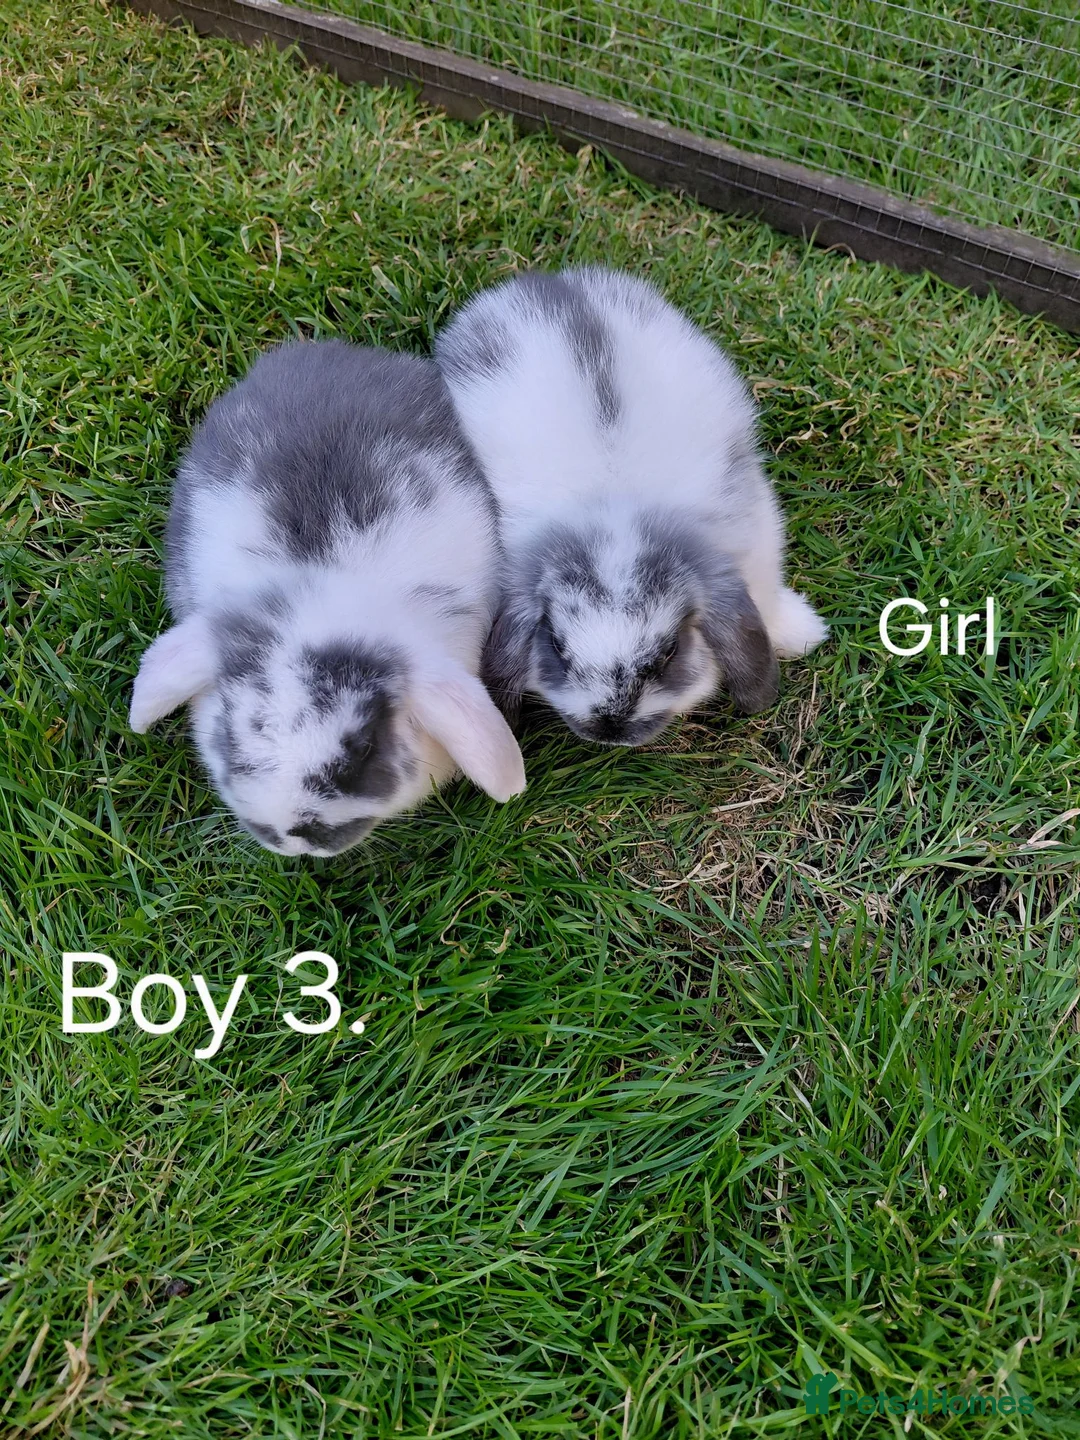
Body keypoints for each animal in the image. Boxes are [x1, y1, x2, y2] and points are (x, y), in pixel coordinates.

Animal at [434, 265, 827, 747]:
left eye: (669, 652)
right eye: (557, 647)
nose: (609, 726)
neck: (616, 509)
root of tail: (552, 281)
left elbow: (767, 598)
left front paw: (804, 633)